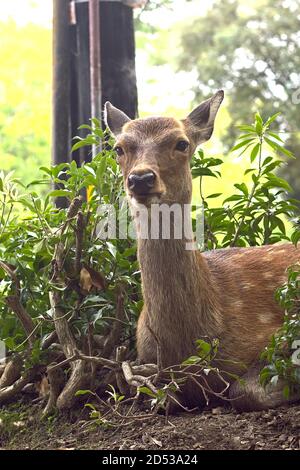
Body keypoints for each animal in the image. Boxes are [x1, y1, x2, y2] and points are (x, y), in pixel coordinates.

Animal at [103, 91, 300, 412]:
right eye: (119, 148)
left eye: (181, 143)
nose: (141, 178)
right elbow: (160, 398)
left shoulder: (279, 334)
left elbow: (244, 390)